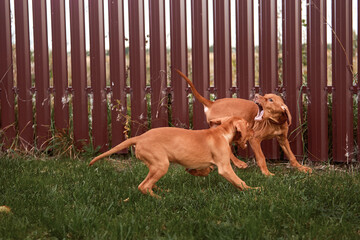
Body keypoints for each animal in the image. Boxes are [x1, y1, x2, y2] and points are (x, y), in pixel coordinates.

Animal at [88, 116, 255, 197]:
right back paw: (160, 199)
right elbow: (240, 182)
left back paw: (162, 191)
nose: (254, 132)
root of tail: (140, 137)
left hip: (156, 165)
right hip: (161, 165)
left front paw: (195, 172)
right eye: (248, 126)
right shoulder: (225, 168)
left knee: (149, 183)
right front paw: (254, 190)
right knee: (144, 186)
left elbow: (203, 170)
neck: (222, 132)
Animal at [177, 69, 312, 176]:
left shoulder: (282, 139)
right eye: (265, 96)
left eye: (270, 99)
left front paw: (301, 168)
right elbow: (261, 157)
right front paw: (266, 173)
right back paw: (239, 163)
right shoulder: (254, 139)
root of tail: (212, 103)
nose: (256, 95)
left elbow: (291, 155)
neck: (274, 123)